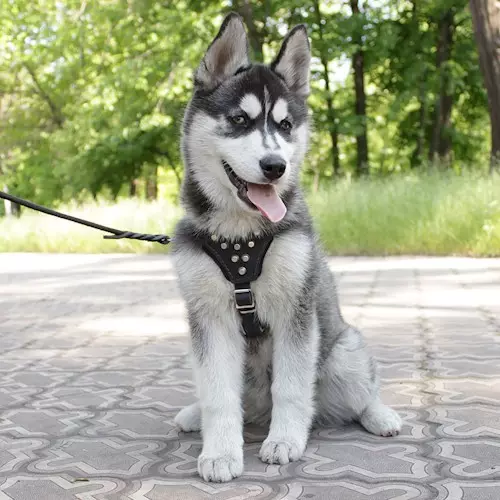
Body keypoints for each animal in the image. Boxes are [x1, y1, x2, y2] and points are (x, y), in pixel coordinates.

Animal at [172, 13, 402, 484]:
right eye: (239, 119)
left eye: (284, 126)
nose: (275, 167)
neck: (239, 237)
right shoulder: (208, 319)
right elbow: (218, 394)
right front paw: (219, 452)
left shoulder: (297, 310)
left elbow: (292, 387)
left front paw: (285, 441)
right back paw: (195, 414)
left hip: (343, 351)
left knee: (360, 392)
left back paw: (379, 415)